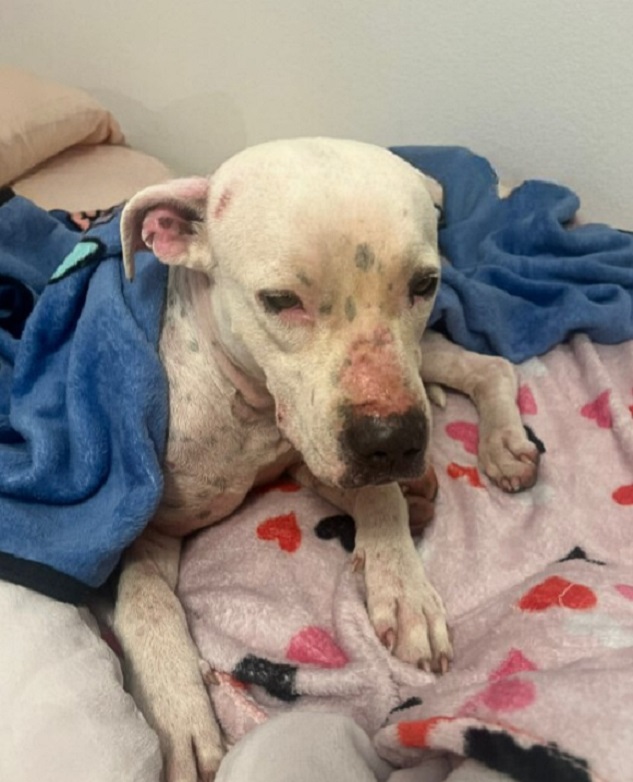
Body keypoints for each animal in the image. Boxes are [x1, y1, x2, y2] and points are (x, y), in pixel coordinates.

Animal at [113, 139, 540, 782]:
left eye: (425, 283)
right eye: (279, 301)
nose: (393, 440)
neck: (252, 408)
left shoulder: (324, 447)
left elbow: (380, 496)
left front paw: (403, 585)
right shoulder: (147, 528)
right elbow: (145, 600)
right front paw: (179, 717)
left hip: (418, 361)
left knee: (487, 367)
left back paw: (502, 445)